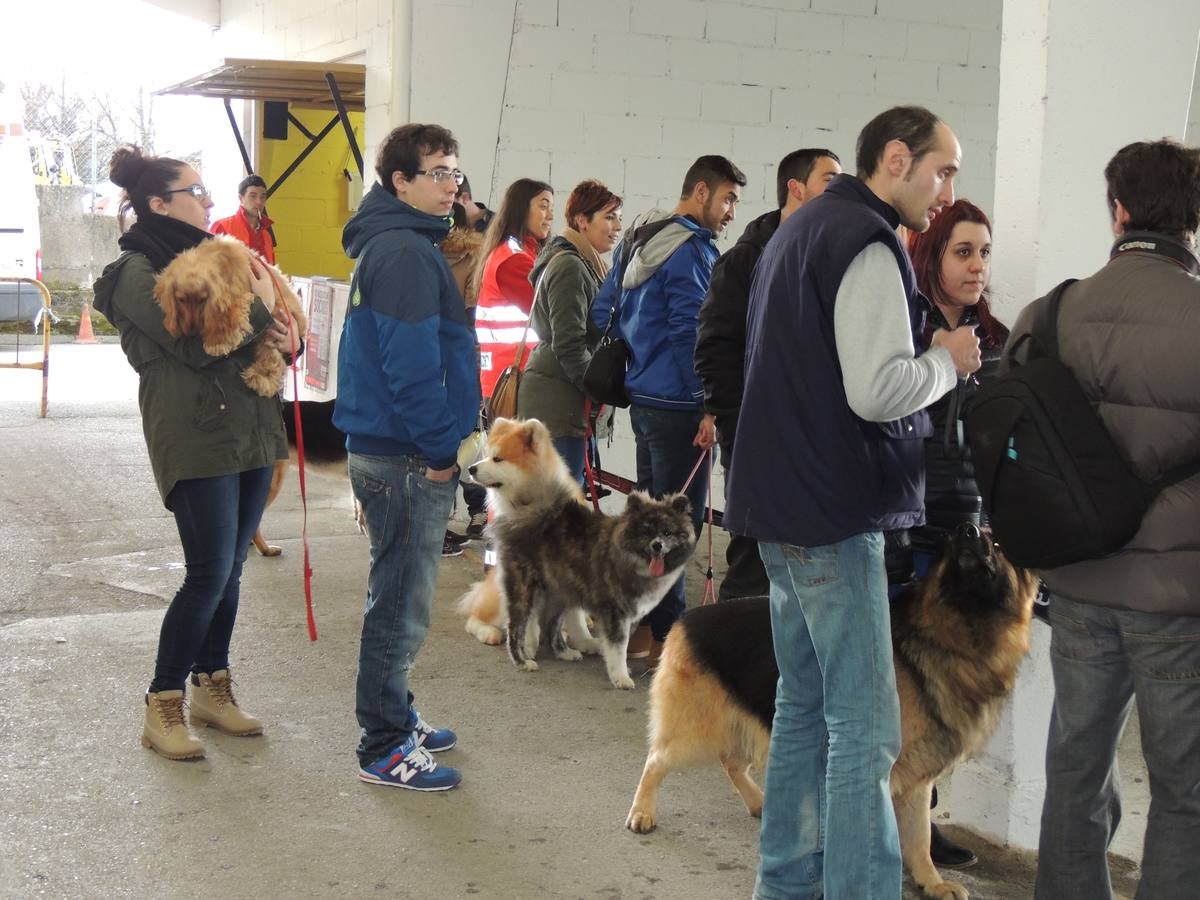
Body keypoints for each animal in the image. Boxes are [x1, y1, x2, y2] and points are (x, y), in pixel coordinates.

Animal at [487, 494, 696, 691]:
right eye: (646, 532)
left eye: (667, 532)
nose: (657, 545)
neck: (627, 558)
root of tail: (522, 518)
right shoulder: (616, 613)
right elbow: (618, 648)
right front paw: (621, 677)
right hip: (525, 591)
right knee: (515, 629)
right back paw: (522, 662)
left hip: (559, 592)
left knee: (550, 625)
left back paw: (564, 653)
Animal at [628, 525, 1041, 897]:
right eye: (976, 538)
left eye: (998, 543)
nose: (966, 529)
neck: (946, 632)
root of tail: (690, 617)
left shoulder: (918, 781)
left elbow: (919, 838)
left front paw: (932, 882)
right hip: (695, 730)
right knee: (656, 760)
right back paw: (642, 811)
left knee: (731, 761)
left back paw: (760, 802)